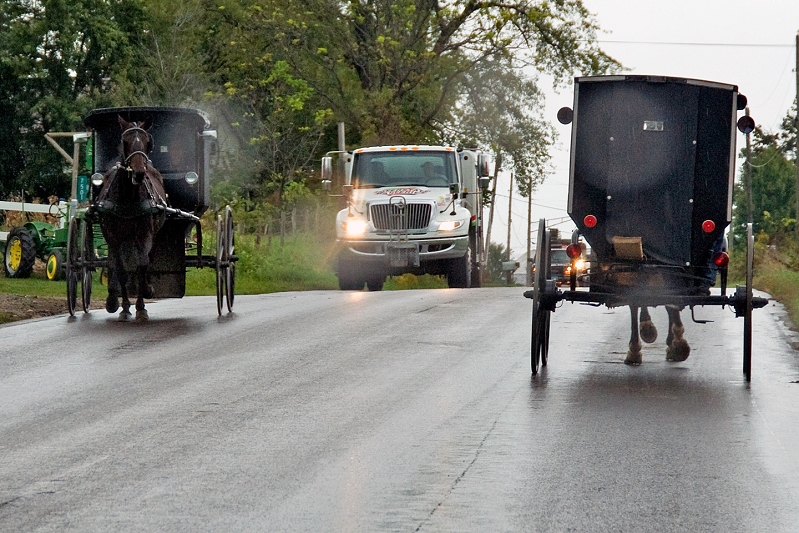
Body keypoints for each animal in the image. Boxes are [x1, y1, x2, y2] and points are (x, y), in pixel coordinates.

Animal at [96, 115, 166, 320]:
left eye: (147, 142)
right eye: (124, 142)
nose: (139, 172)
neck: (127, 197)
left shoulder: (144, 235)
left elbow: (141, 265)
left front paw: (143, 302)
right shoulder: (112, 236)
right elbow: (120, 269)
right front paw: (120, 305)